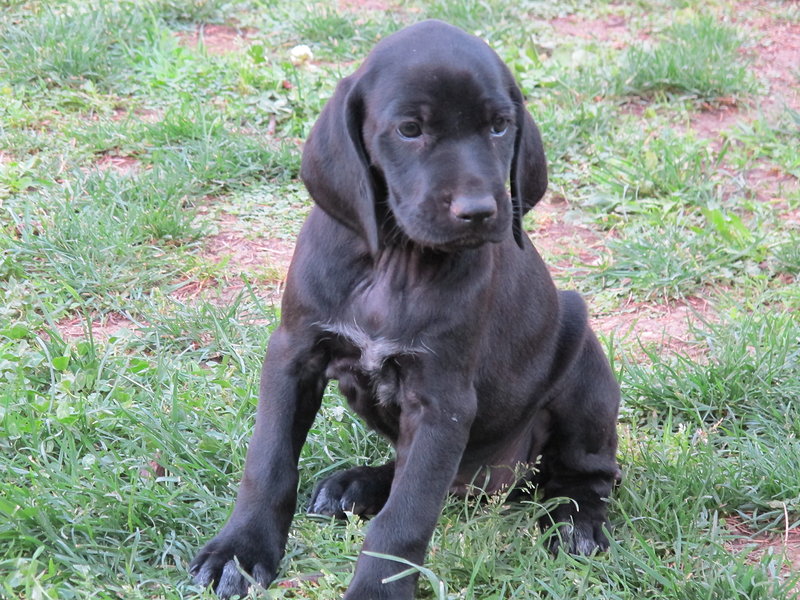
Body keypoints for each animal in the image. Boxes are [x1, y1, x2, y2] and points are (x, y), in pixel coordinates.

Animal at [191, 19, 620, 600]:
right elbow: (269, 460)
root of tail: (494, 481)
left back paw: (576, 521)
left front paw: (376, 590)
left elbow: (406, 517)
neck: (395, 260)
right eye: (410, 129)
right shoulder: (294, 353)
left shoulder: (441, 399)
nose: (478, 211)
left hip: (584, 367)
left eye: (500, 126)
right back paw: (355, 484)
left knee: (588, 474)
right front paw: (239, 550)